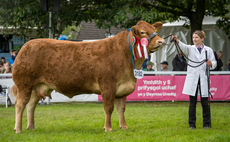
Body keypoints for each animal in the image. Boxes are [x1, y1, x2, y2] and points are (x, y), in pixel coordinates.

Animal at [11, 20, 165, 133]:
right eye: (143, 32)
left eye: (154, 29)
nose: (161, 41)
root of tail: (26, 45)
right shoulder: (107, 85)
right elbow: (109, 108)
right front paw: (108, 128)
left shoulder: (122, 90)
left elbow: (121, 109)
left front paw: (124, 127)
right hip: (24, 84)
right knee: (20, 104)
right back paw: (18, 129)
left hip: (36, 87)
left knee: (31, 105)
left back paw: (31, 127)